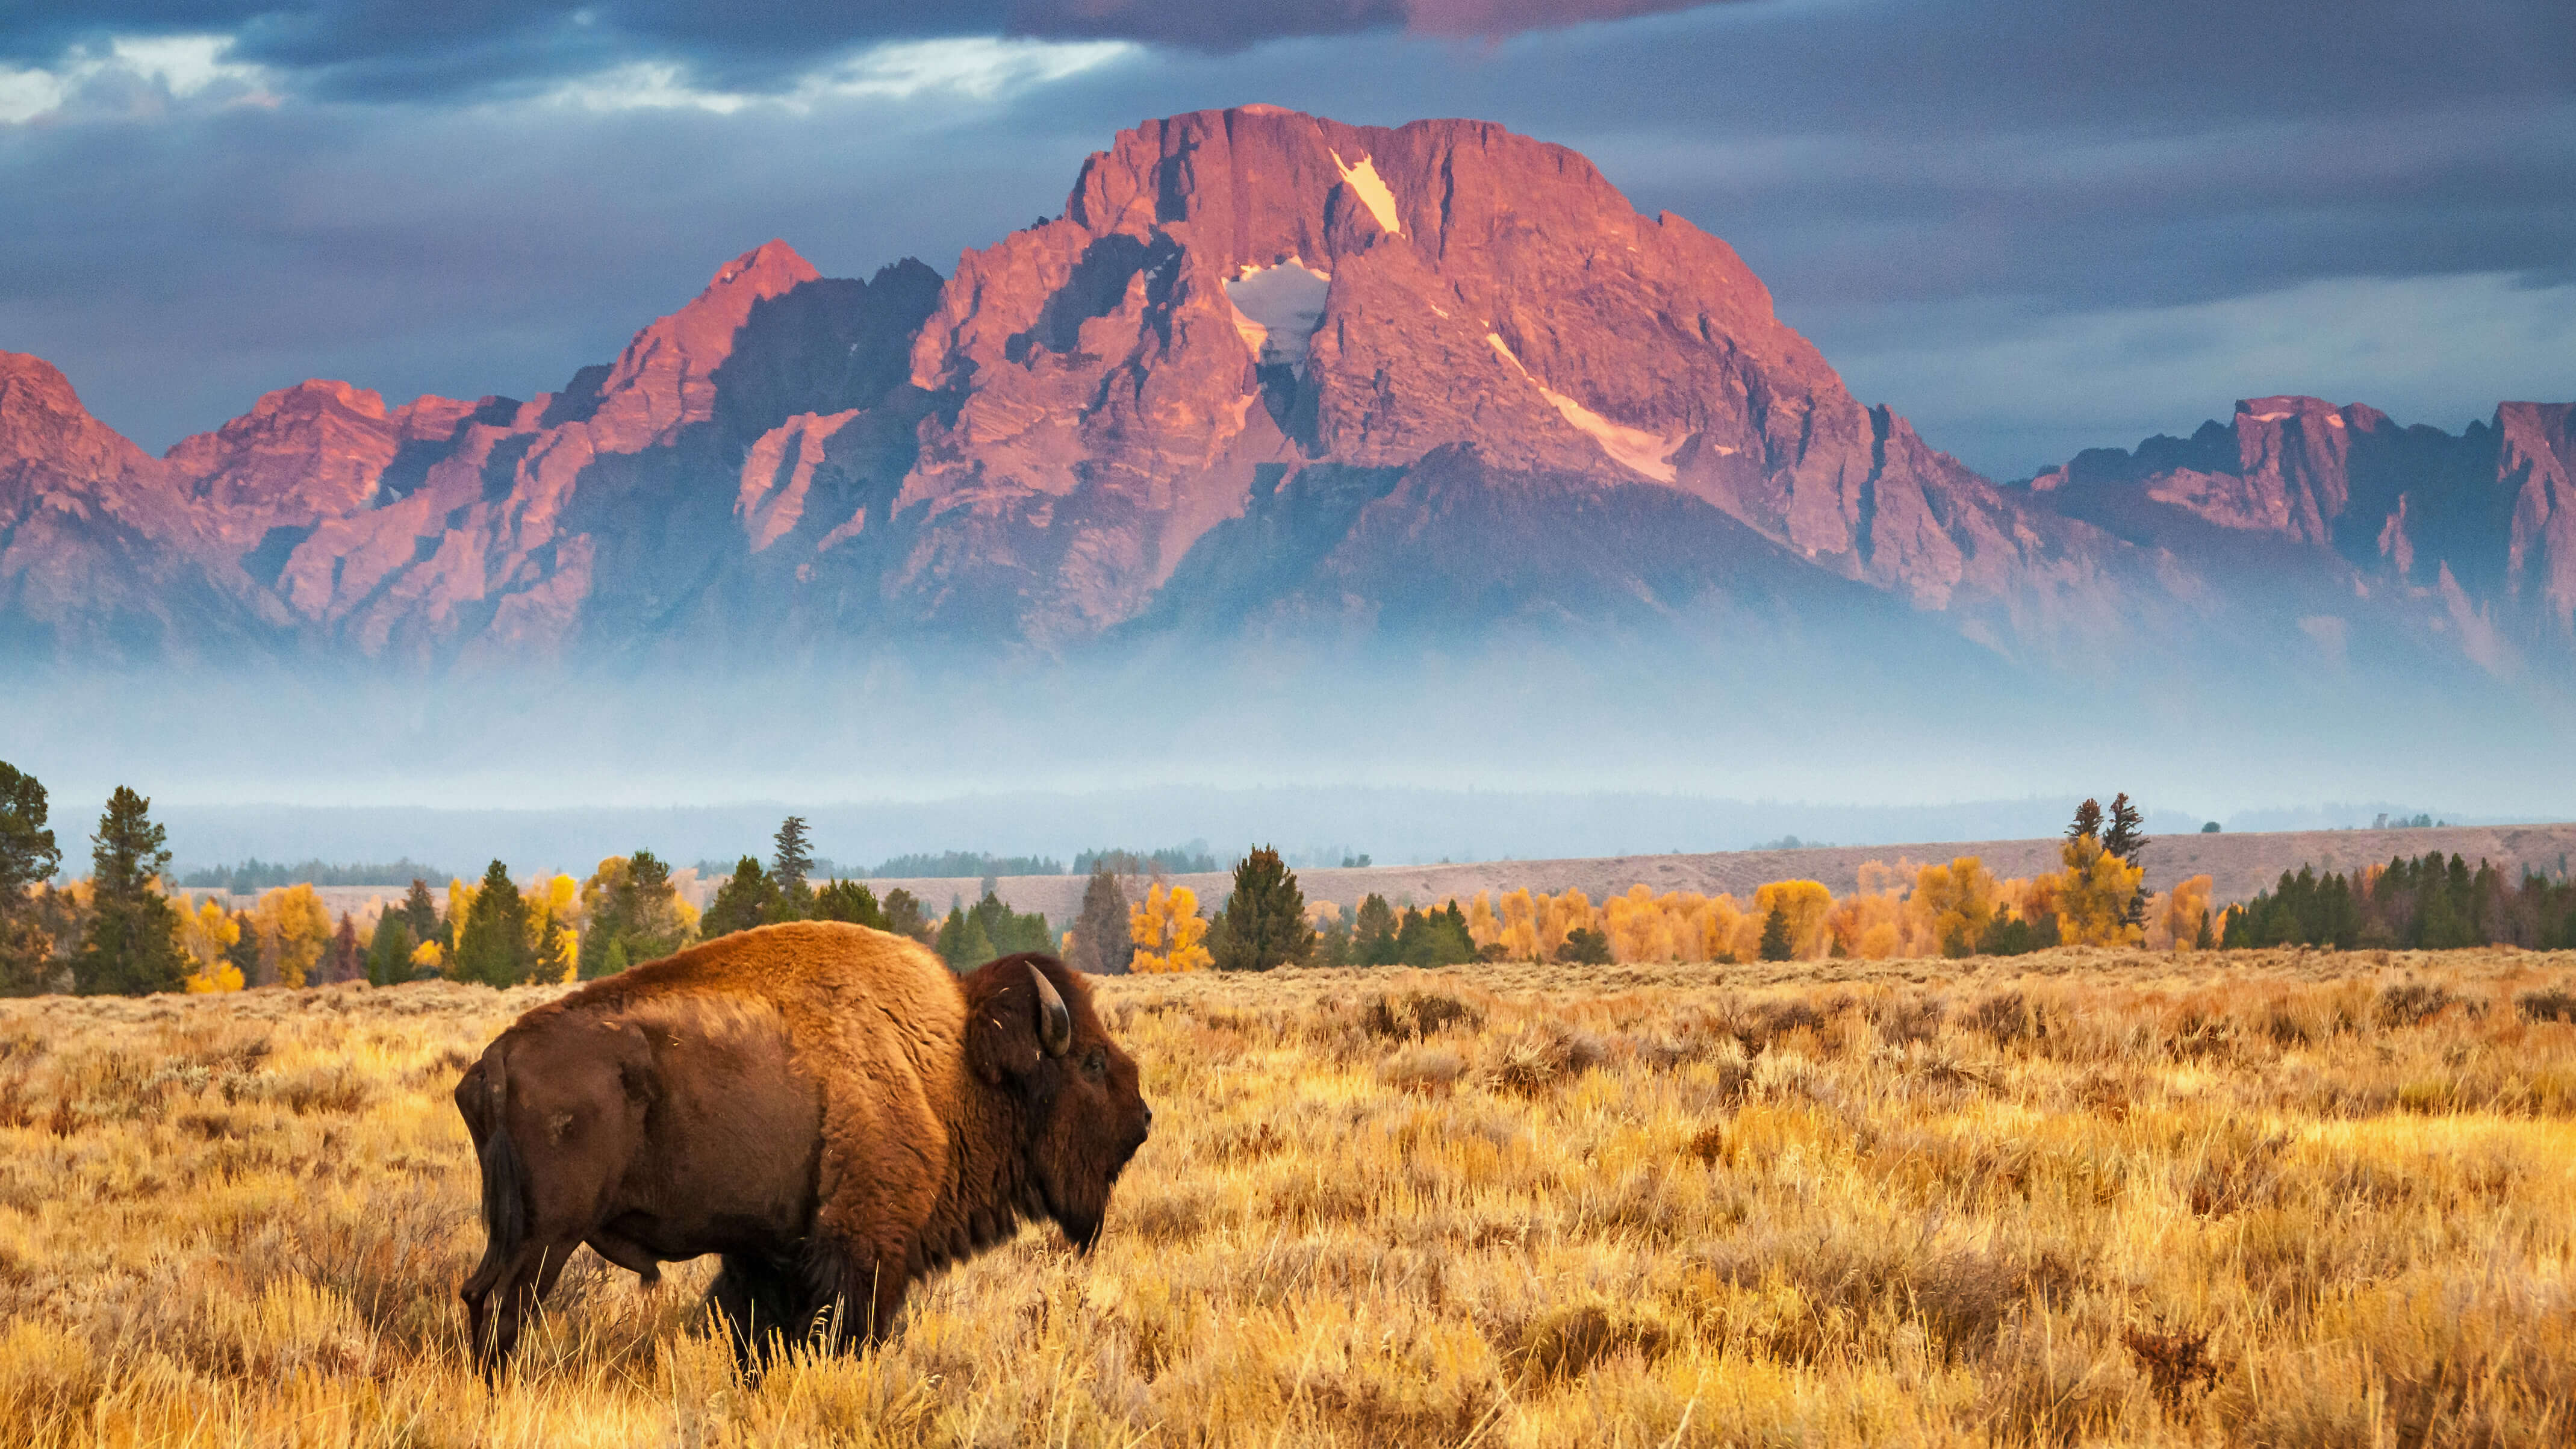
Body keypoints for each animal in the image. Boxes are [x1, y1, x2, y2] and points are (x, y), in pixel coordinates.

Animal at [453, 923, 1152, 1368]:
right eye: (1091, 1063)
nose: (1143, 1119)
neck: (950, 1066)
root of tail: (497, 1060)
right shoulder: (865, 1248)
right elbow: (849, 1331)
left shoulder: (770, 1252)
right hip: (546, 1238)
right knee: (506, 1309)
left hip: (513, 1233)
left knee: (478, 1297)